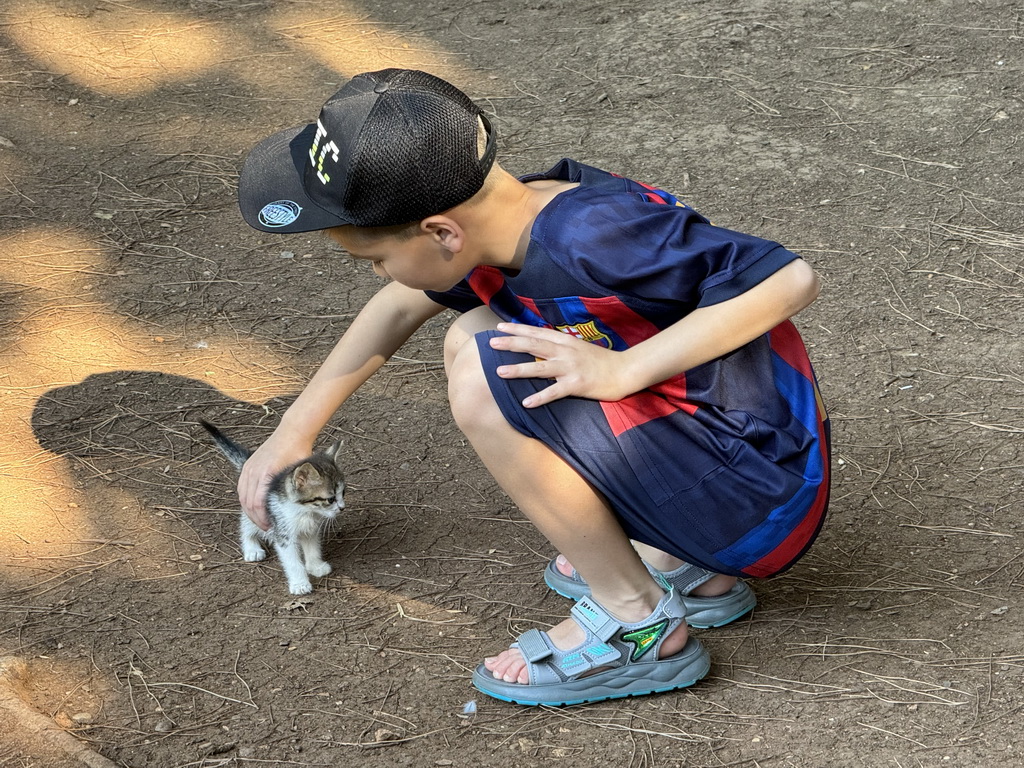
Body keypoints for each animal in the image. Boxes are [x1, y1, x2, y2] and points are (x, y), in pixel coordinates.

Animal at [197, 421, 346, 593]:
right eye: (330, 499)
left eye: (343, 493)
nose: (342, 508)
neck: (305, 512)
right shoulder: (282, 533)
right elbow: (292, 561)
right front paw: (300, 583)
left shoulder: (310, 530)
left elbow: (312, 548)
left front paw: (315, 566)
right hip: (256, 509)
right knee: (245, 523)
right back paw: (251, 548)